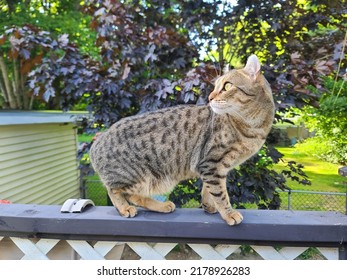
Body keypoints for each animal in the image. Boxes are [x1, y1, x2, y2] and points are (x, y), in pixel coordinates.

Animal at [89, 54, 274, 225]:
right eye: (215, 86)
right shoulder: (211, 164)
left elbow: (208, 190)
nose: (210, 97)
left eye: (227, 85)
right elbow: (219, 193)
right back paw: (125, 208)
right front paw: (228, 213)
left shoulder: (214, 167)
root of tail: (96, 143)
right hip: (136, 176)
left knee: (133, 195)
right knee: (115, 190)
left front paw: (209, 206)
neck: (252, 125)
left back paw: (161, 206)